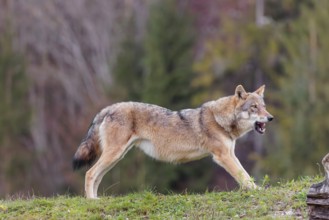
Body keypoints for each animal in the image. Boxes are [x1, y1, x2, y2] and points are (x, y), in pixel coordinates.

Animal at [73, 84, 272, 198]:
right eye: (254, 107)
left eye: (264, 106)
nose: (271, 118)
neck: (220, 119)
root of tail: (108, 108)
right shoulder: (223, 156)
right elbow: (243, 175)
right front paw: (257, 190)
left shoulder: (230, 154)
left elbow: (245, 174)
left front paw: (256, 189)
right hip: (114, 155)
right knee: (89, 173)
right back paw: (91, 201)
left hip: (116, 157)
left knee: (96, 176)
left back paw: (96, 200)